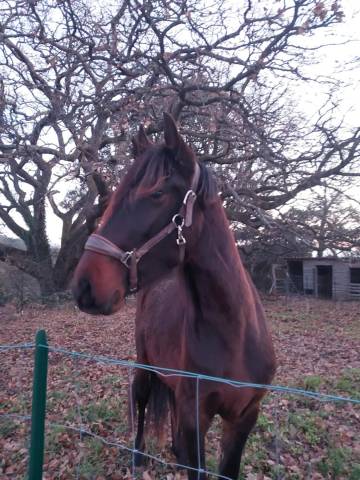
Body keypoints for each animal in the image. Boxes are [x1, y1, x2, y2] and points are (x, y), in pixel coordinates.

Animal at [72, 113, 276, 480]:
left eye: (157, 193)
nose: (84, 285)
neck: (235, 335)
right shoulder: (195, 416)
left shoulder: (244, 417)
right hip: (145, 364)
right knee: (140, 398)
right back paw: (138, 457)